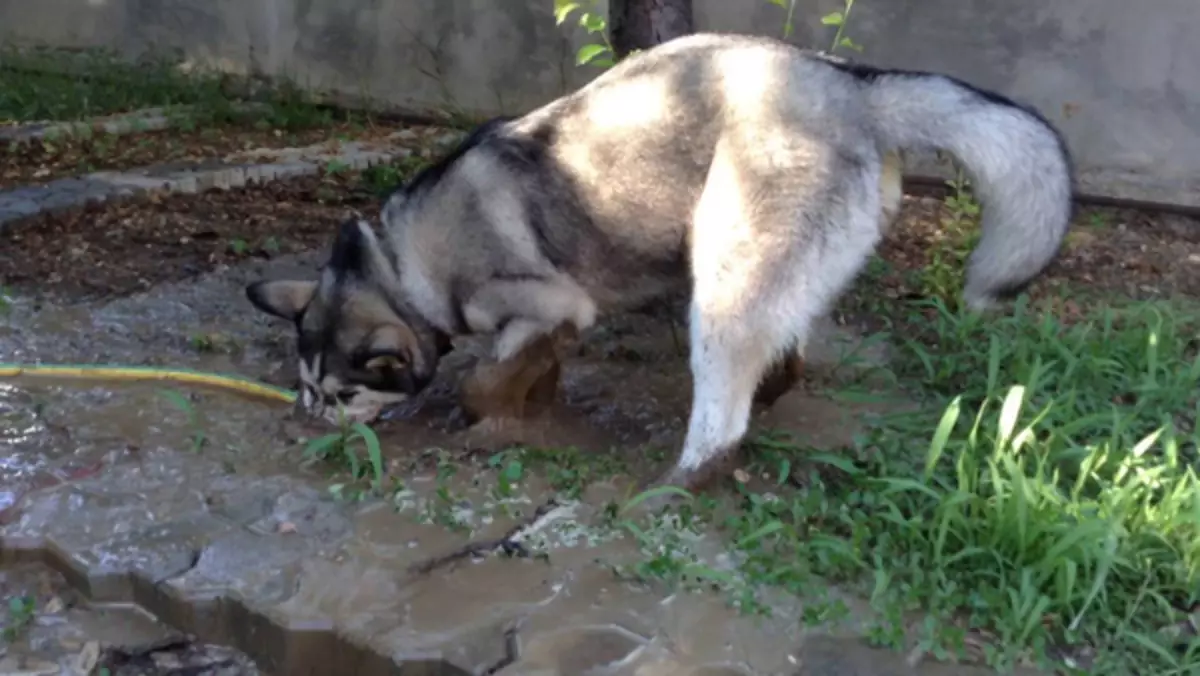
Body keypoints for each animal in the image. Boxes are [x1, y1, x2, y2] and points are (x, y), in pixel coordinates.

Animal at [248, 30, 1075, 492]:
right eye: (307, 391)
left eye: (341, 396)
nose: (304, 430)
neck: (399, 263)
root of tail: (850, 87)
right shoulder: (551, 321)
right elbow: (529, 367)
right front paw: (533, 404)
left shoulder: (548, 302)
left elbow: (485, 377)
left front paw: (486, 418)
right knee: (782, 356)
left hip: (724, 283)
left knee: (724, 414)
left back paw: (678, 481)